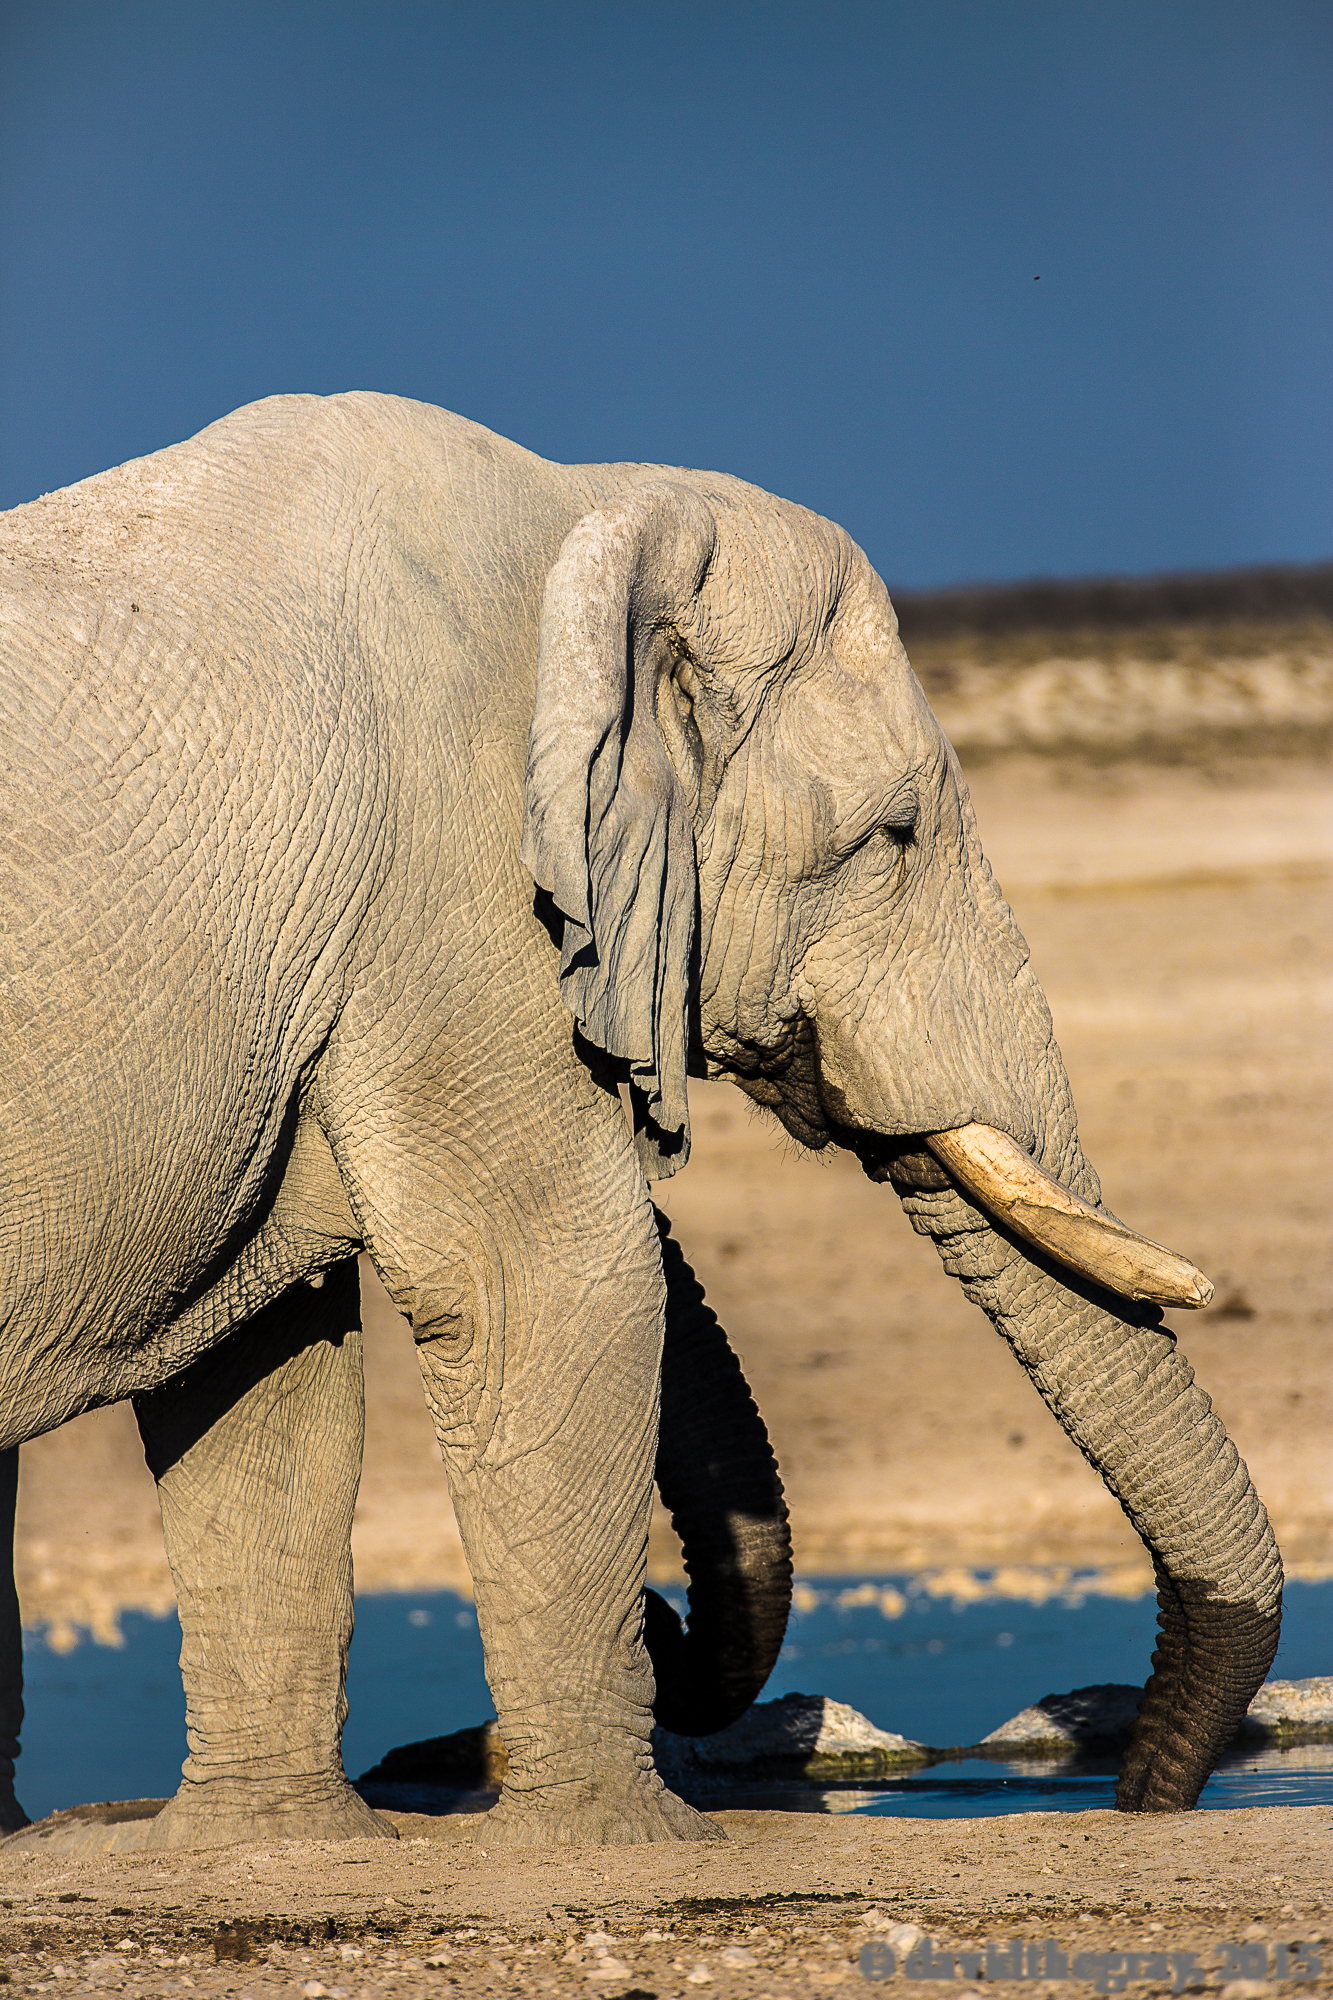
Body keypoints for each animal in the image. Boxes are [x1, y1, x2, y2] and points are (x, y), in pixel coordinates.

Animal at [0, 392, 1279, 1845]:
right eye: (894, 835)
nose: (1137, 1803)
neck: (596, 508)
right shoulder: (461, 878)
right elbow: (552, 1276)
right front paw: (622, 1847)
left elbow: (268, 1350)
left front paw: (278, 1850)